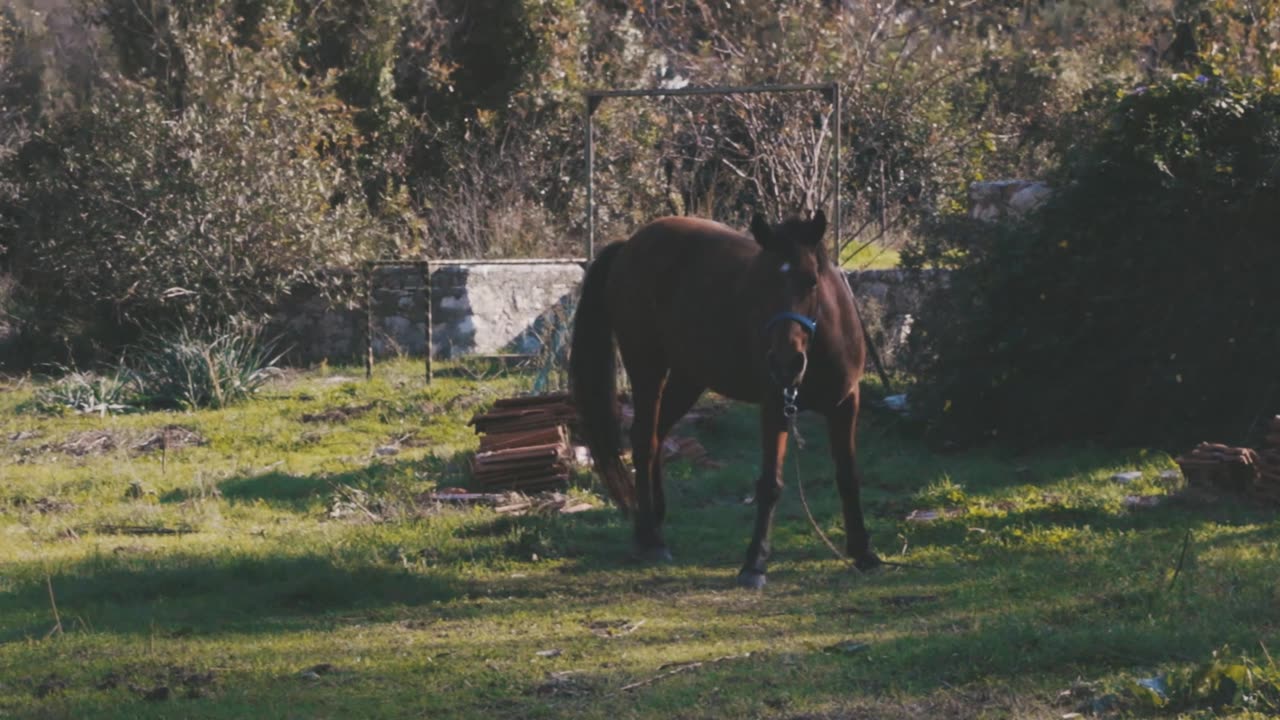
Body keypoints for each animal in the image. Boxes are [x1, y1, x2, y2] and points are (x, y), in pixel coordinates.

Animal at [570, 210, 880, 586]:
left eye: (811, 281)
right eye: (761, 283)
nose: (785, 363)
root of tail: (630, 245)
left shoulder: (845, 404)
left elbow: (848, 477)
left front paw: (863, 552)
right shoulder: (775, 406)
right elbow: (770, 484)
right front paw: (754, 563)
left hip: (689, 377)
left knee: (658, 434)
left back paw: (655, 516)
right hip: (647, 366)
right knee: (643, 439)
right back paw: (651, 538)